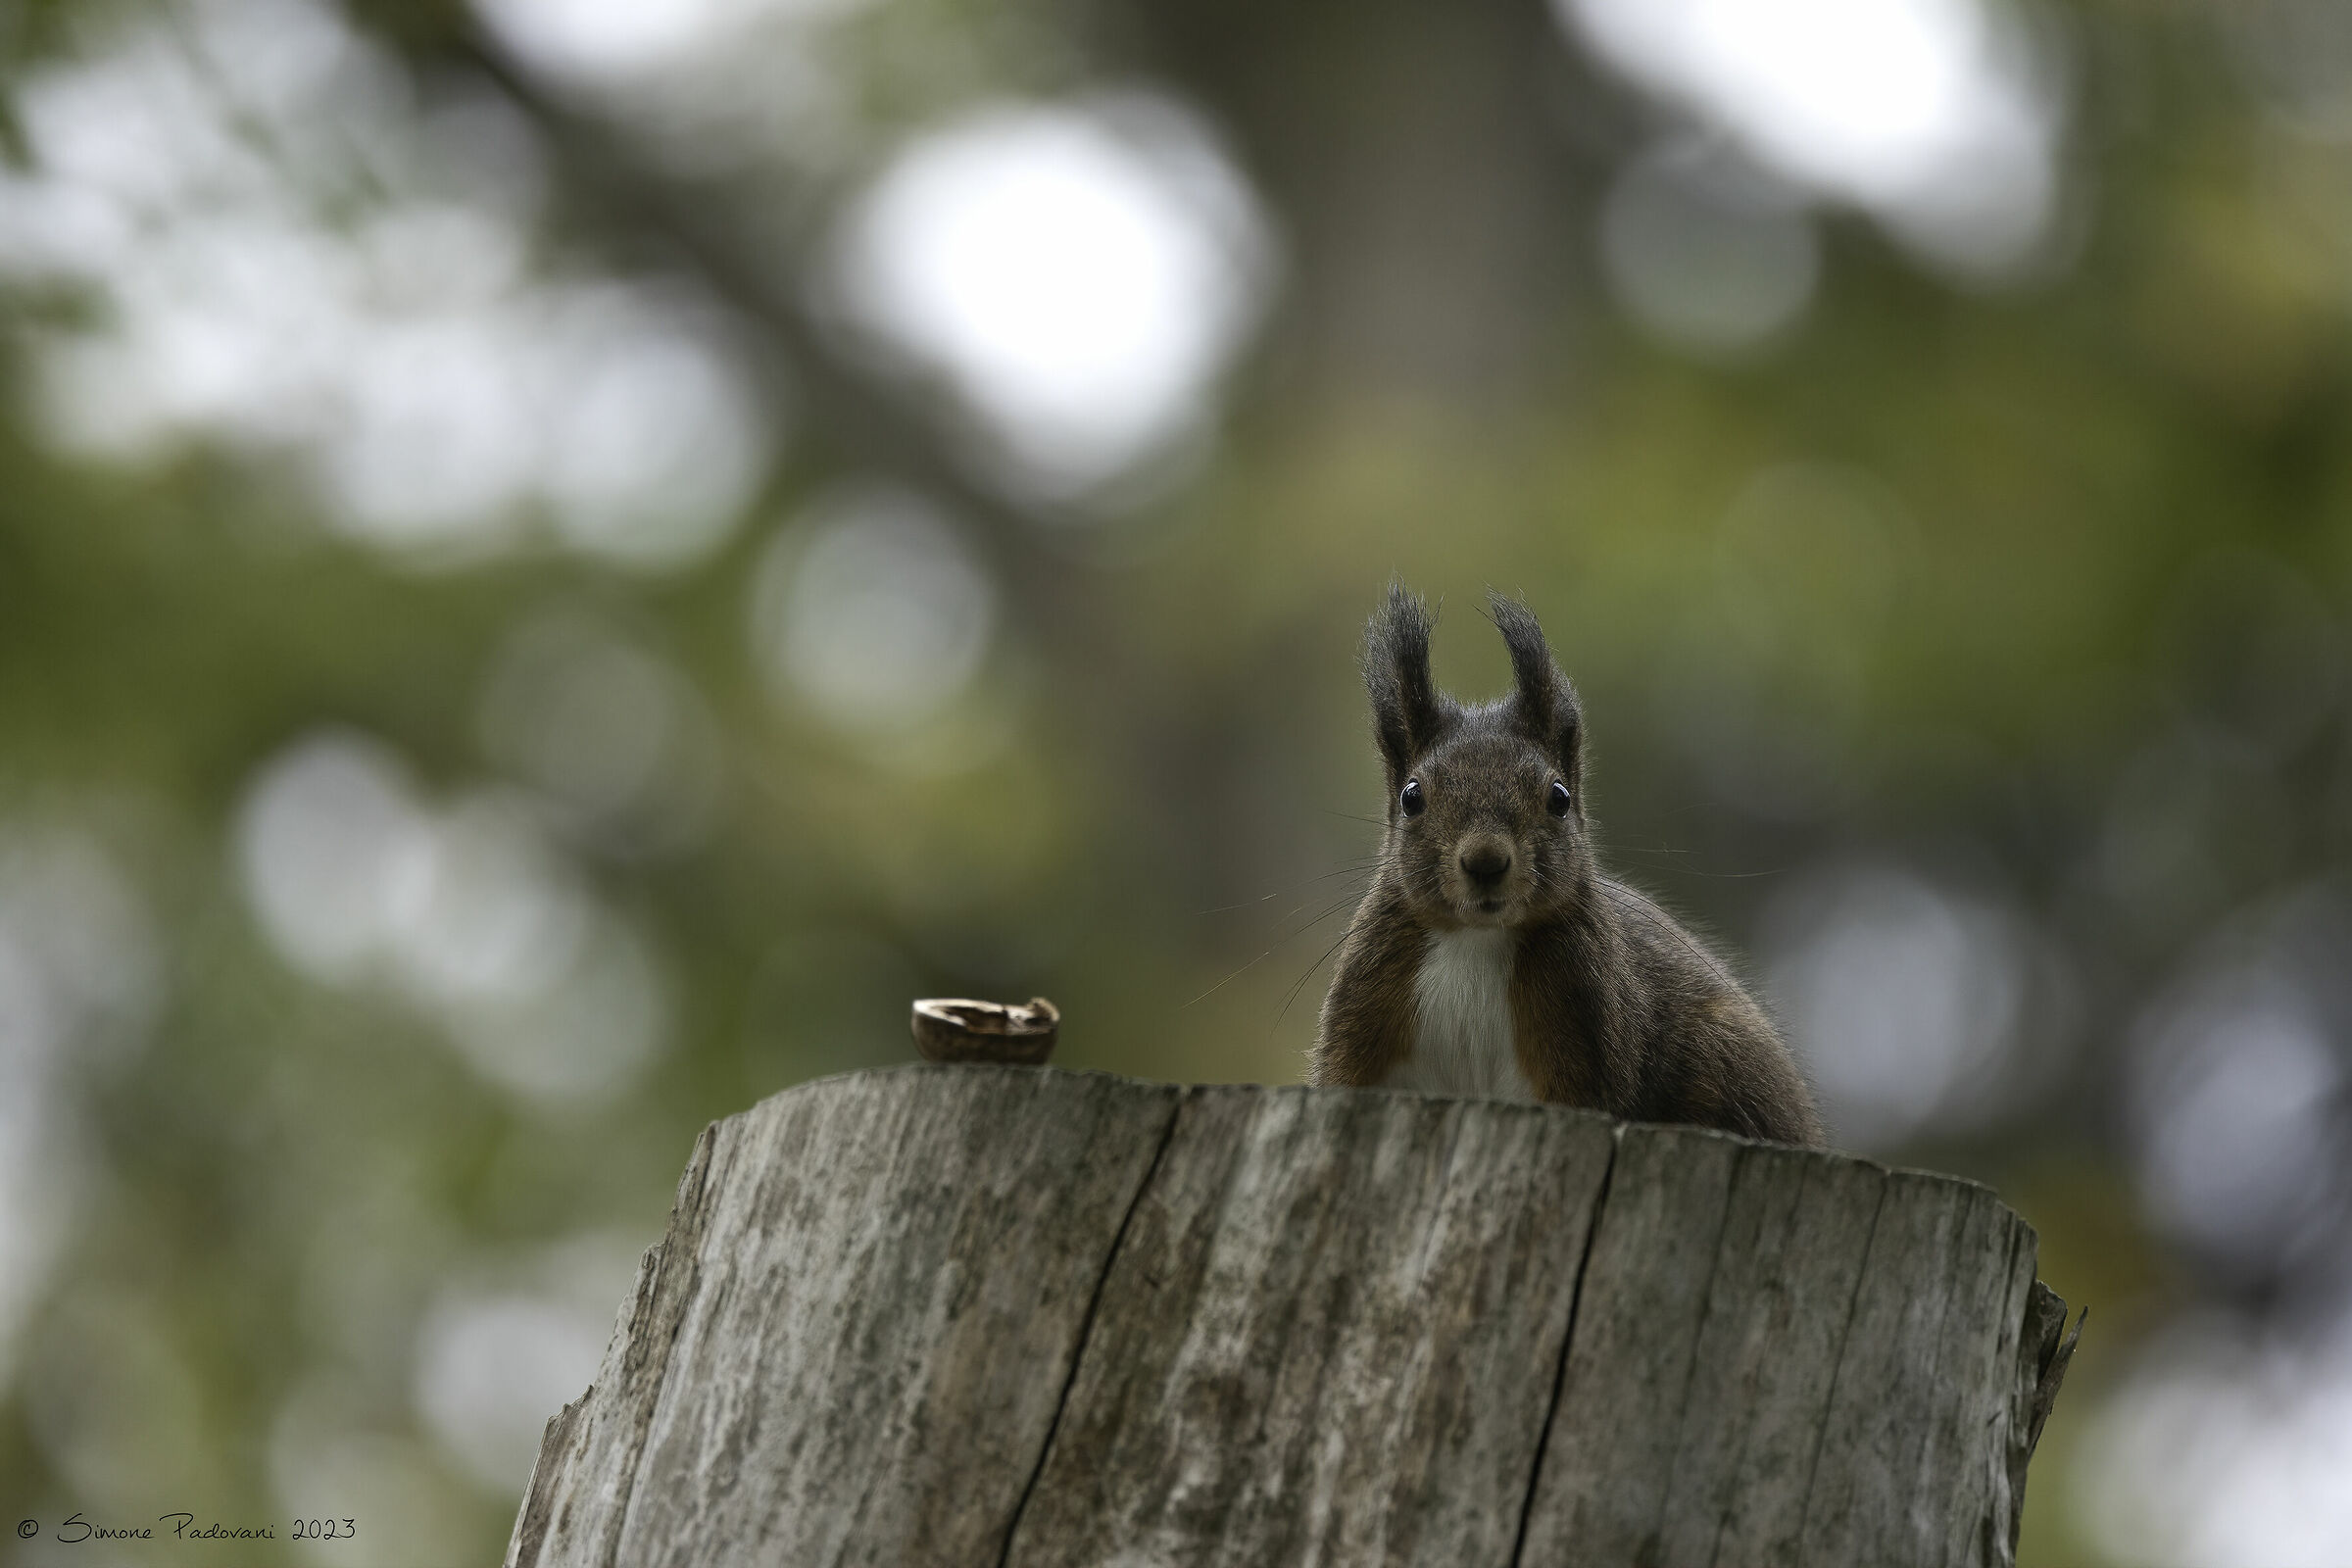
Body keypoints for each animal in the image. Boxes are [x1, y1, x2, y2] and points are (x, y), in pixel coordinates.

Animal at [1311, 585, 1824, 1148]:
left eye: (1559, 797)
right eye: (1411, 797)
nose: (1485, 861)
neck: (1476, 938)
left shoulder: (1585, 1030)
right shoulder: (1362, 1013)